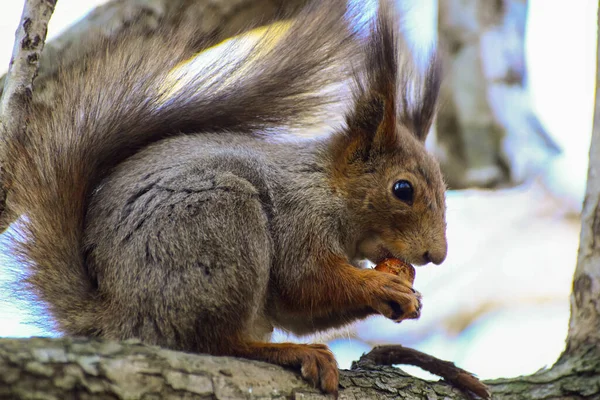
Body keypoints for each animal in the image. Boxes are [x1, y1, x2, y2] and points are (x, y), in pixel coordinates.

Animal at [3, 0, 446, 394]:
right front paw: (382, 286)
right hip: (220, 230)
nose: (436, 255)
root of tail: (117, 317)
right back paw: (290, 353)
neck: (326, 185)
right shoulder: (299, 215)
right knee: (213, 343)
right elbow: (306, 279)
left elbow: (298, 308)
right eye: (402, 189)